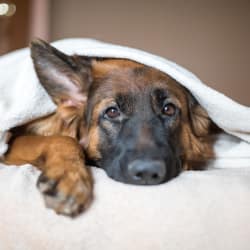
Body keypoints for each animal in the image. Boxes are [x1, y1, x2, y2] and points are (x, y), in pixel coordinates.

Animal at [2, 40, 217, 216]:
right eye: (112, 112)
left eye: (169, 109)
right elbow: (63, 139)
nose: (148, 173)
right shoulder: (10, 146)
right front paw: (69, 176)